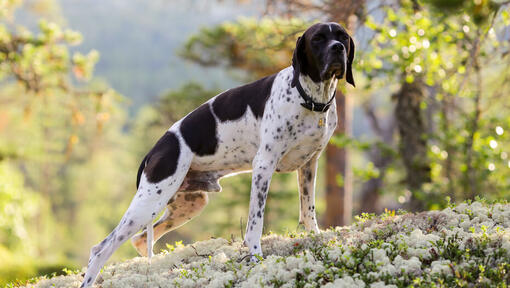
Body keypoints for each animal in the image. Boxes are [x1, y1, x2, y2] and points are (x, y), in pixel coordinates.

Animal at [81, 22, 356, 286]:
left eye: (342, 36)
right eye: (317, 38)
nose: (338, 49)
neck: (307, 97)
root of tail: (154, 150)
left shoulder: (309, 166)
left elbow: (308, 211)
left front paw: (316, 238)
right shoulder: (263, 166)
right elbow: (255, 222)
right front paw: (255, 257)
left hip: (188, 204)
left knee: (138, 241)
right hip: (149, 202)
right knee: (100, 249)